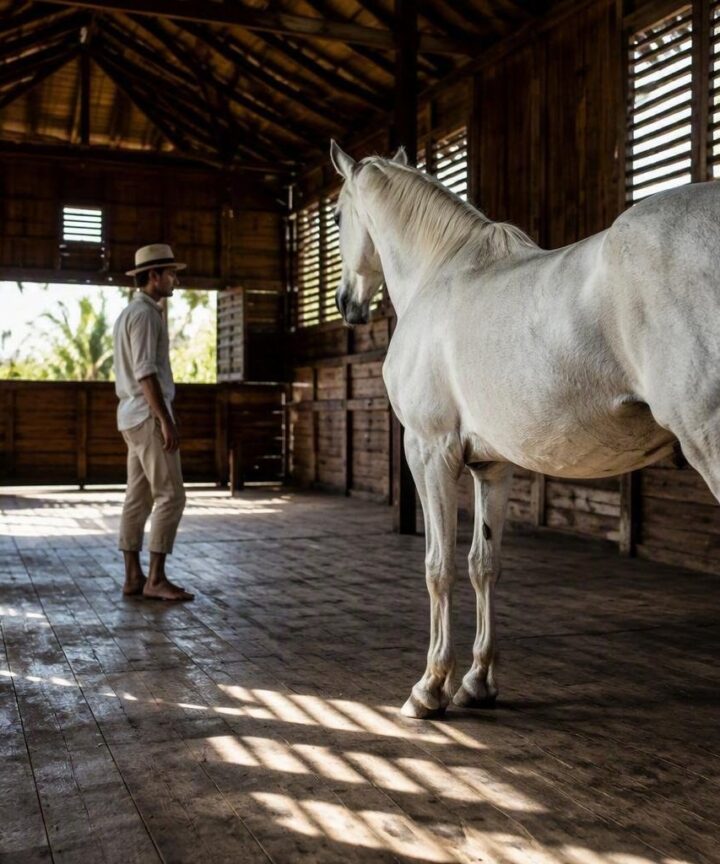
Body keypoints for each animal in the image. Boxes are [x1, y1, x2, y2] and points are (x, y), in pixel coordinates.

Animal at [329, 139, 720, 719]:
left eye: (336, 216)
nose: (346, 305)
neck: (442, 272)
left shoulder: (429, 451)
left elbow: (438, 566)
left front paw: (430, 688)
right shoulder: (492, 466)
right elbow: (483, 564)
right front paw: (477, 682)